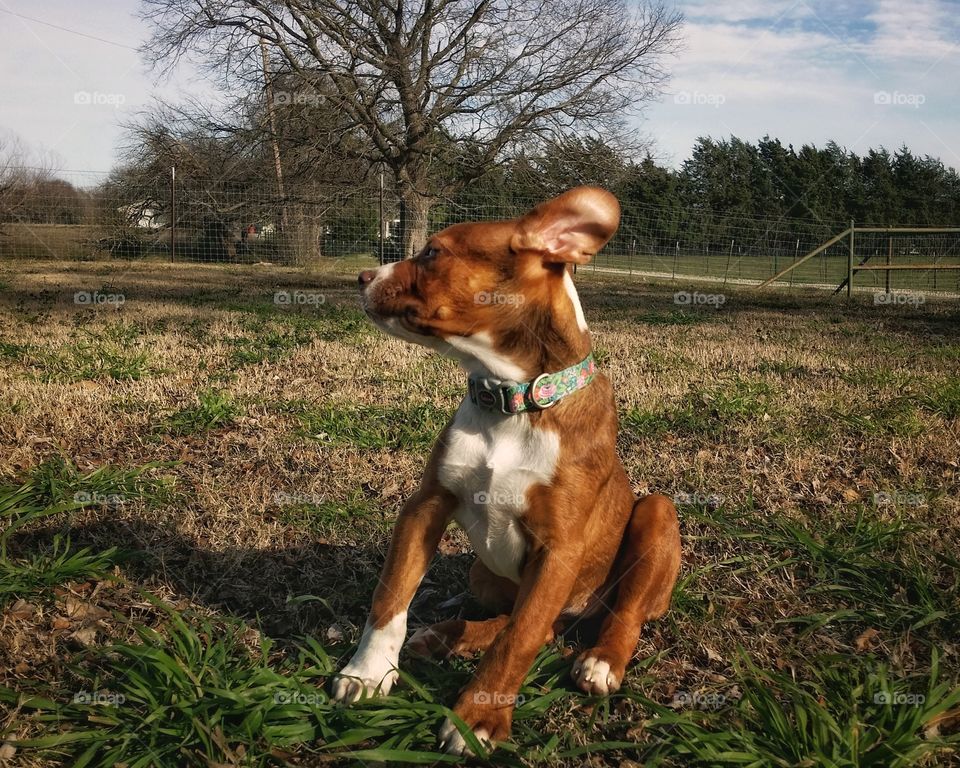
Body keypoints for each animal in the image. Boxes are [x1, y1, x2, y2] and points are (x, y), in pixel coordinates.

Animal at [330, 188, 684, 756]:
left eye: (433, 253)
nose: (362, 277)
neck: (509, 400)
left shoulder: (559, 549)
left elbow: (519, 639)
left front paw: (478, 717)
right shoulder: (426, 506)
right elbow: (390, 595)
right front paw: (367, 672)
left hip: (655, 513)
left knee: (614, 616)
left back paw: (600, 662)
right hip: (483, 571)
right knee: (532, 625)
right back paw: (447, 635)